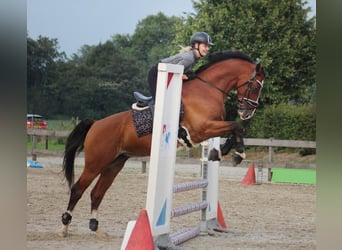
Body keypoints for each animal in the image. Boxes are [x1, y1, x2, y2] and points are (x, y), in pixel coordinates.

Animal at [58, 49, 264, 237]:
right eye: (255, 86)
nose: (247, 113)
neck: (207, 89)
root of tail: (95, 124)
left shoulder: (211, 127)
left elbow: (235, 129)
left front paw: (224, 152)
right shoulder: (201, 129)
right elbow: (237, 126)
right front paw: (236, 153)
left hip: (114, 163)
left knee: (97, 192)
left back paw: (95, 226)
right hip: (96, 162)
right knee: (78, 189)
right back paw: (64, 226)